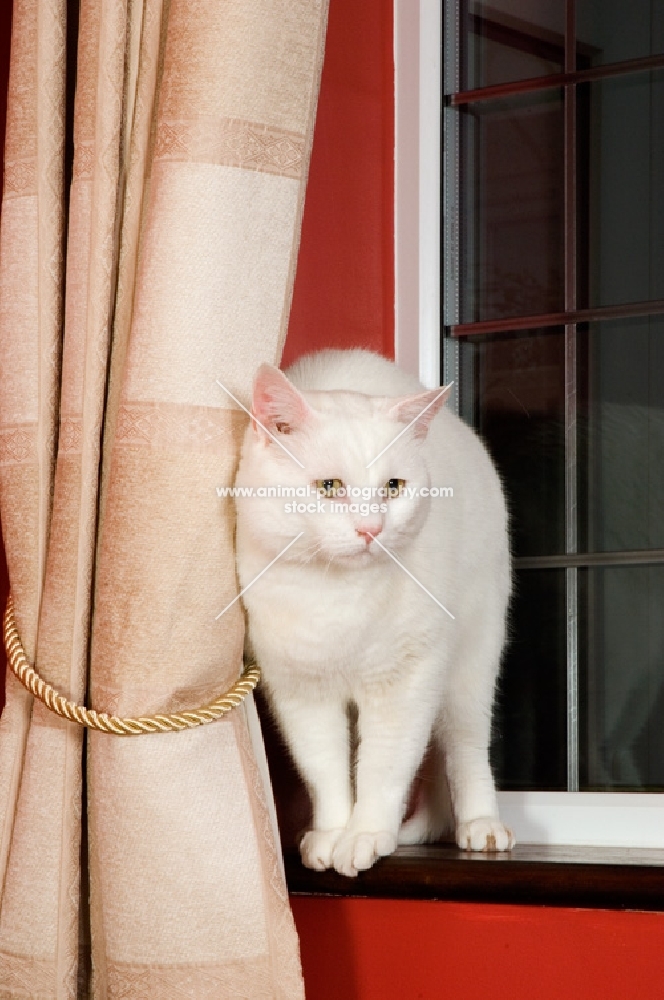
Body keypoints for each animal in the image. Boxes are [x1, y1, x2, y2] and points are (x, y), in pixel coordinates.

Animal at [233, 350, 512, 876]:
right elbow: (323, 766)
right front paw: (330, 835)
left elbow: (384, 765)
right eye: (329, 486)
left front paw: (365, 835)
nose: (371, 529)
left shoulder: (406, 683)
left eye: (394, 487)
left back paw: (480, 826)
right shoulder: (299, 690)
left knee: (465, 748)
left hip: (470, 662)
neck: (336, 597)